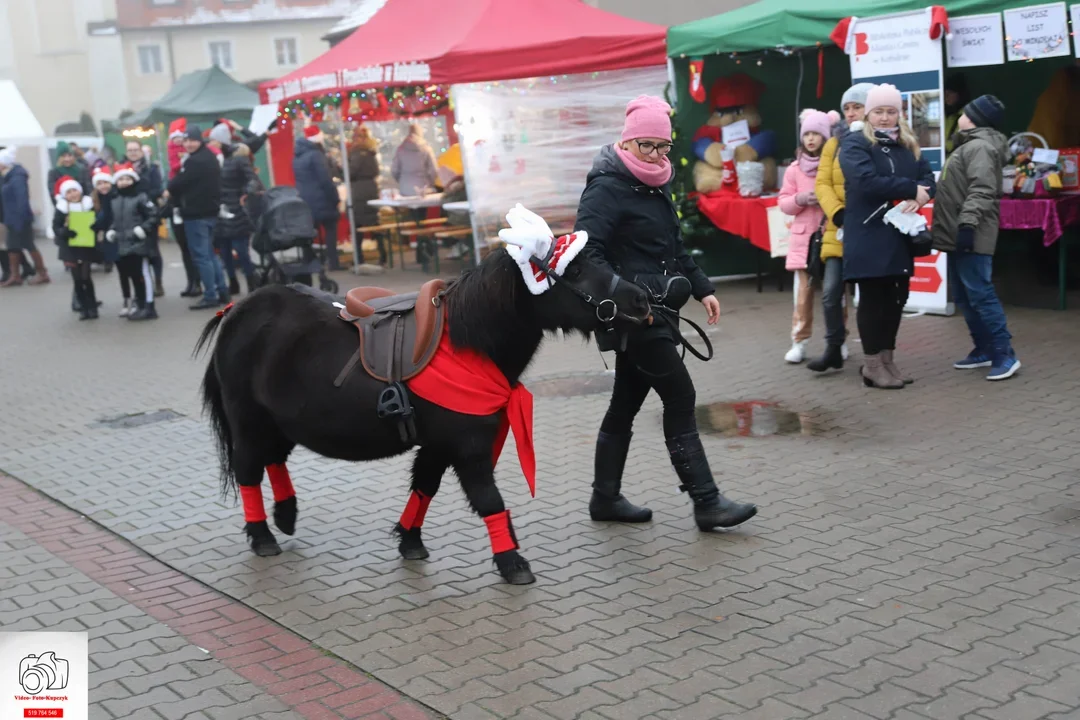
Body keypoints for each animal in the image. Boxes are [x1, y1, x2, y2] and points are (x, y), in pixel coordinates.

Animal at [194, 248, 648, 587]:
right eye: (575, 269)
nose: (641, 301)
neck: (468, 341)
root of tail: (237, 310)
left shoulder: (439, 444)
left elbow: (424, 487)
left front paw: (410, 541)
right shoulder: (468, 447)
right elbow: (489, 500)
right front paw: (512, 561)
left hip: (278, 422)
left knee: (274, 459)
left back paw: (285, 515)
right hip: (248, 420)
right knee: (249, 469)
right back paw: (262, 535)